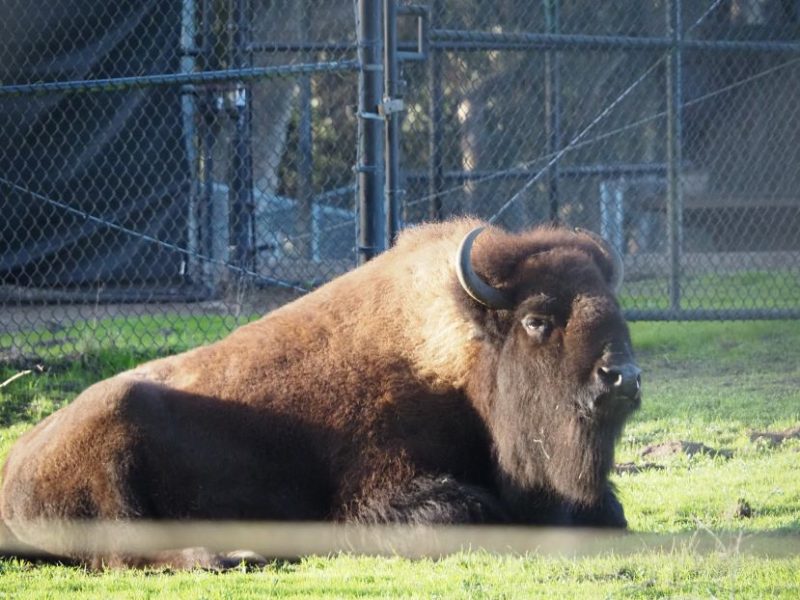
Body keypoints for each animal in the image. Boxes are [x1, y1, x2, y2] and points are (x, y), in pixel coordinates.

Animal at [0, 219, 636, 568]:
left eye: (615, 307)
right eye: (537, 320)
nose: (622, 377)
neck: (459, 352)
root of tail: (15, 465)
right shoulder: (380, 495)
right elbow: (468, 511)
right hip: (116, 438)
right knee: (120, 552)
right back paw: (228, 556)